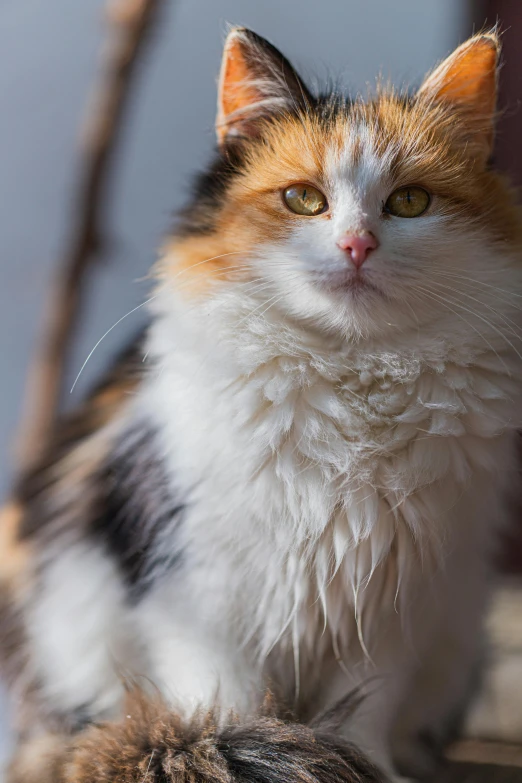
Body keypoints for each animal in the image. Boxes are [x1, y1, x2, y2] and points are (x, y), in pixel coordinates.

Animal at [1, 26, 520, 783]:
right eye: (304, 200)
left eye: (410, 203)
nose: (357, 245)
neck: (351, 377)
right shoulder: (199, 592)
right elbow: (229, 704)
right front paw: (231, 744)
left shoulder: (392, 599)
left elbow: (366, 712)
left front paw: (365, 764)